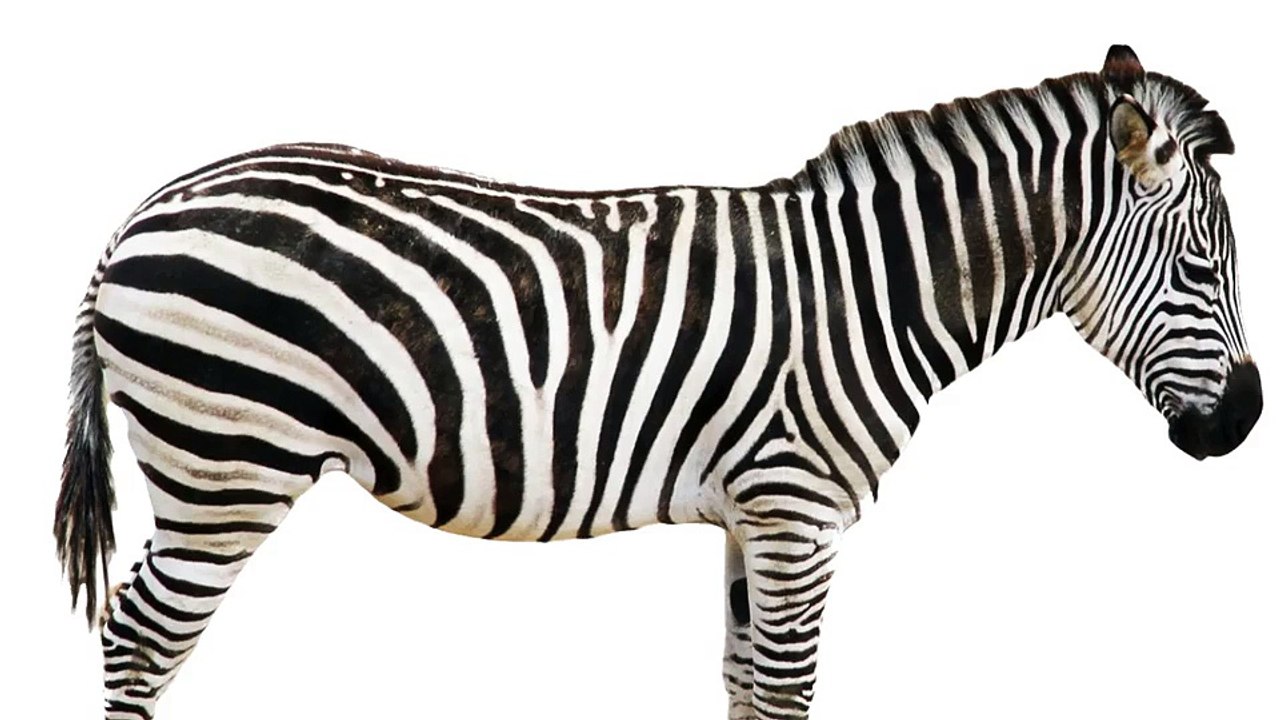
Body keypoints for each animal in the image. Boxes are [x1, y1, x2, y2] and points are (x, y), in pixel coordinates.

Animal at [55, 44, 1260, 719]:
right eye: (1203, 270)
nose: (1246, 423)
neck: (876, 291)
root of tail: (138, 215)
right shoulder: (796, 509)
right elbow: (786, 690)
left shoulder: (752, 516)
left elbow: (741, 684)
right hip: (229, 465)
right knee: (141, 639)